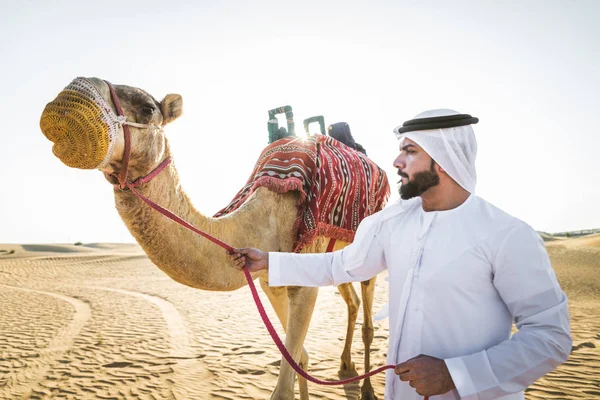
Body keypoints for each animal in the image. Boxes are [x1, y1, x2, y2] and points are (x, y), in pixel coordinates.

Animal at [39, 78, 392, 400]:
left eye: (149, 108)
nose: (73, 93)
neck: (258, 219)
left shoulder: (302, 281)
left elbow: (287, 378)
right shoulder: (270, 280)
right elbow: (300, 358)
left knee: (367, 318)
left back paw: (367, 389)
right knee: (351, 302)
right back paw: (345, 365)